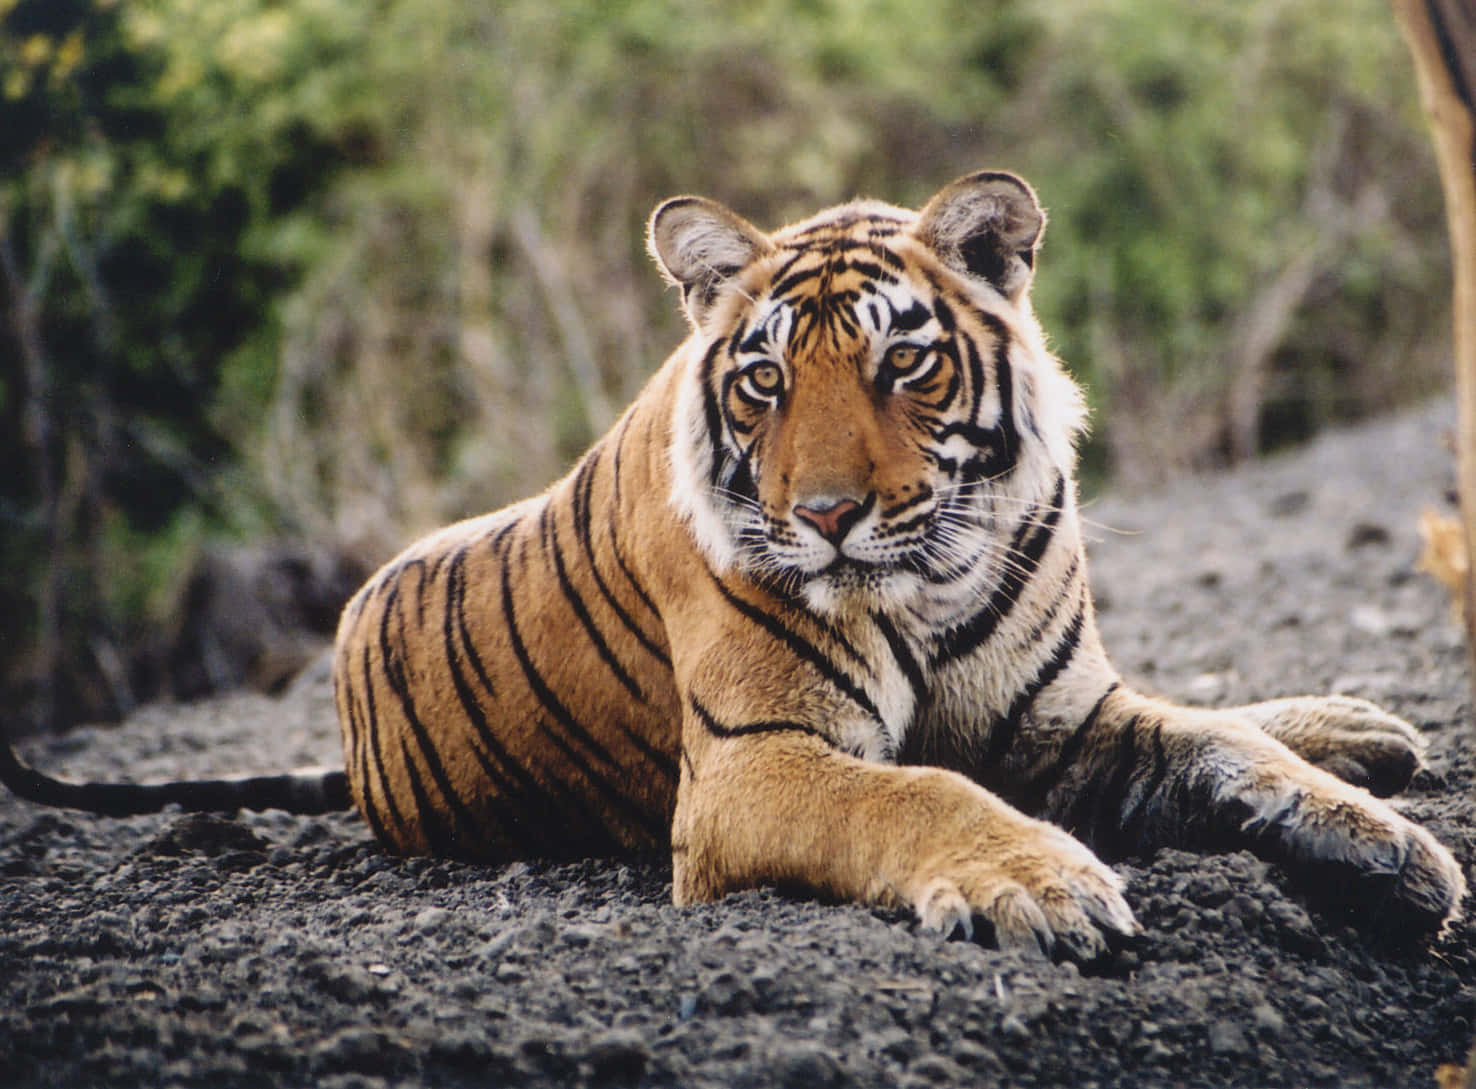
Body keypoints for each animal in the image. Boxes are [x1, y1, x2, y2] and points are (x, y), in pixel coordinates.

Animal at [2, 171, 1464, 956]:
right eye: (765, 381)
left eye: (903, 363)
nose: (824, 515)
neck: (930, 579)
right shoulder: (755, 767)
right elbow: (918, 792)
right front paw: (1048, 883)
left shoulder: (1068, 721)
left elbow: (1225, 750)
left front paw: (1393, 854)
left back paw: (1361, 731)